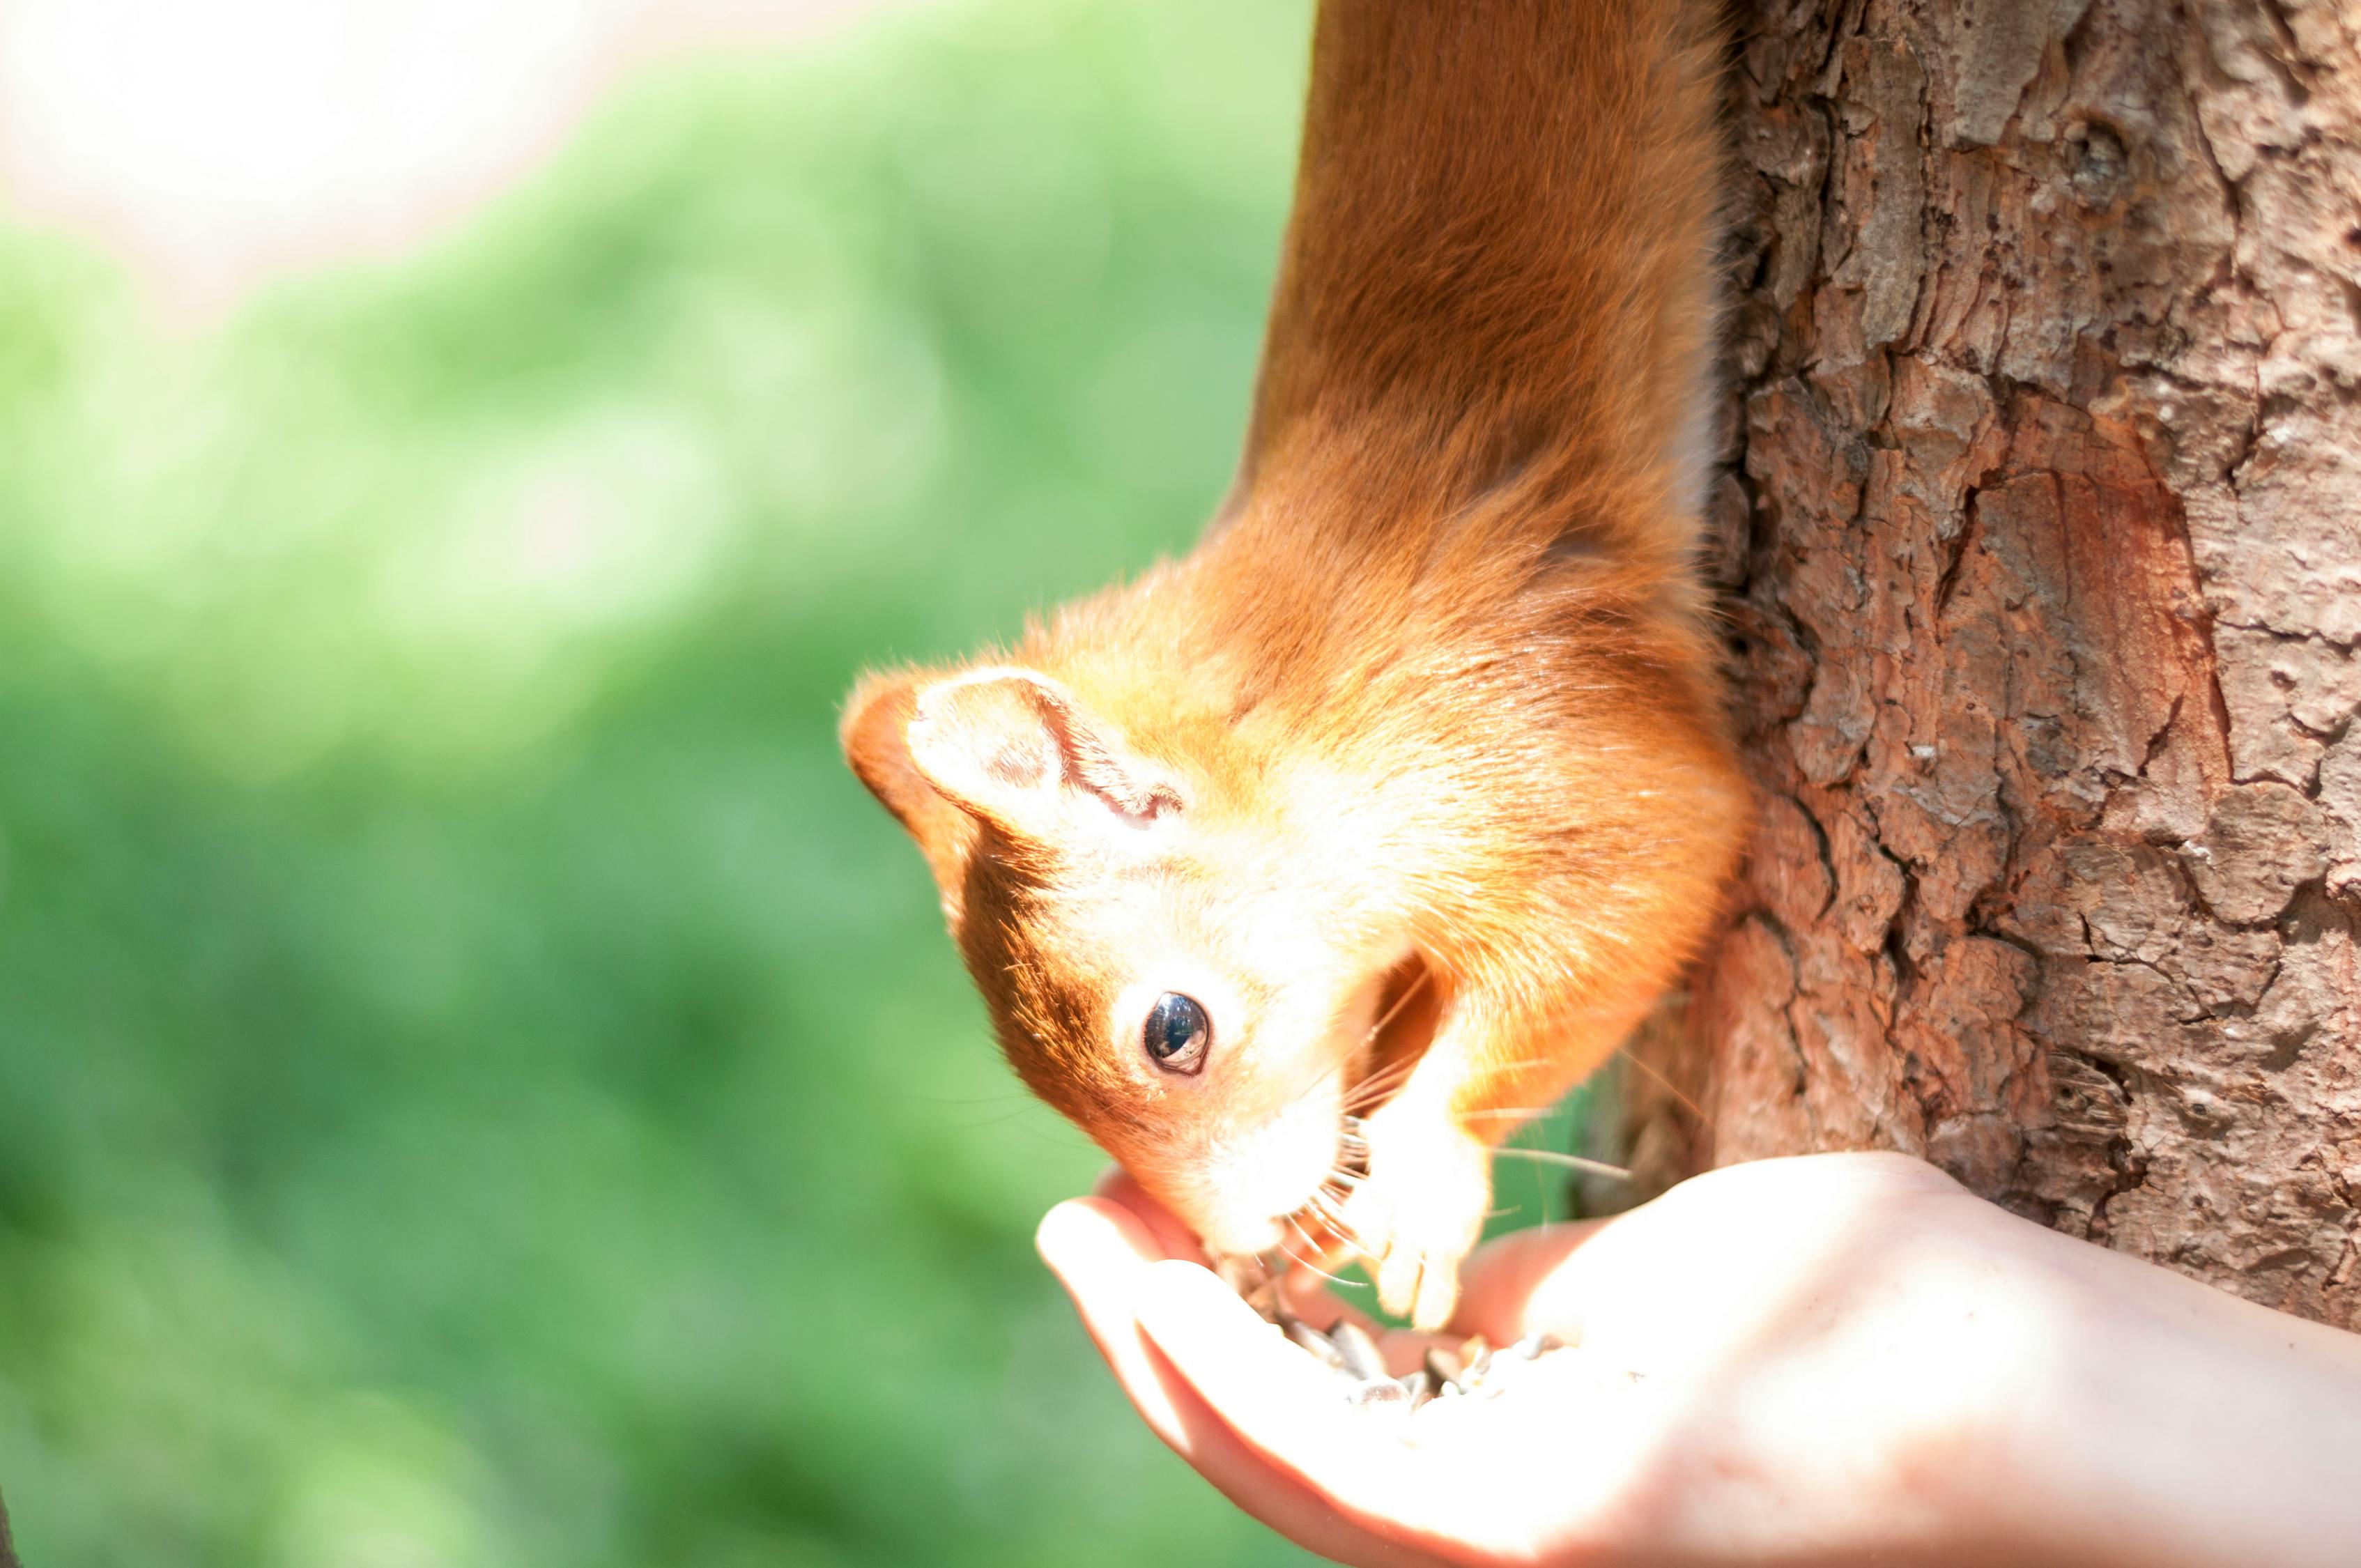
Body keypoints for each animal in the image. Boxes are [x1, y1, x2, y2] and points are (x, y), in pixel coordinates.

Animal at [840, 0, 1747, 1332]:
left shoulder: (1538, 734)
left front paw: (1418, 1180)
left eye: (1173, 1029)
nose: (1240, 1235)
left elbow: (1644, 885)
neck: (1304, 711)